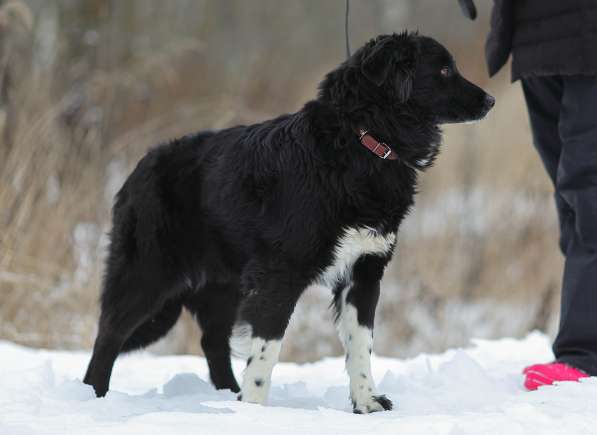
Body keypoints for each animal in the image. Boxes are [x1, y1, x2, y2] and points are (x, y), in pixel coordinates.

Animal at [84, 32, 494, 414]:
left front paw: (366, 403)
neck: (361, 141)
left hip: (223, 285)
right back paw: (95, 396)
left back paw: (225, 396)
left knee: (211, 341)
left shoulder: (363, 273)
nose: (490, 100)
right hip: (147, 275)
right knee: (109, 335)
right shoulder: (279, 275)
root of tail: (140, 166)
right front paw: (253, 410)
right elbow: (266, 353)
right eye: (444, 71)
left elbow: (361, 347)